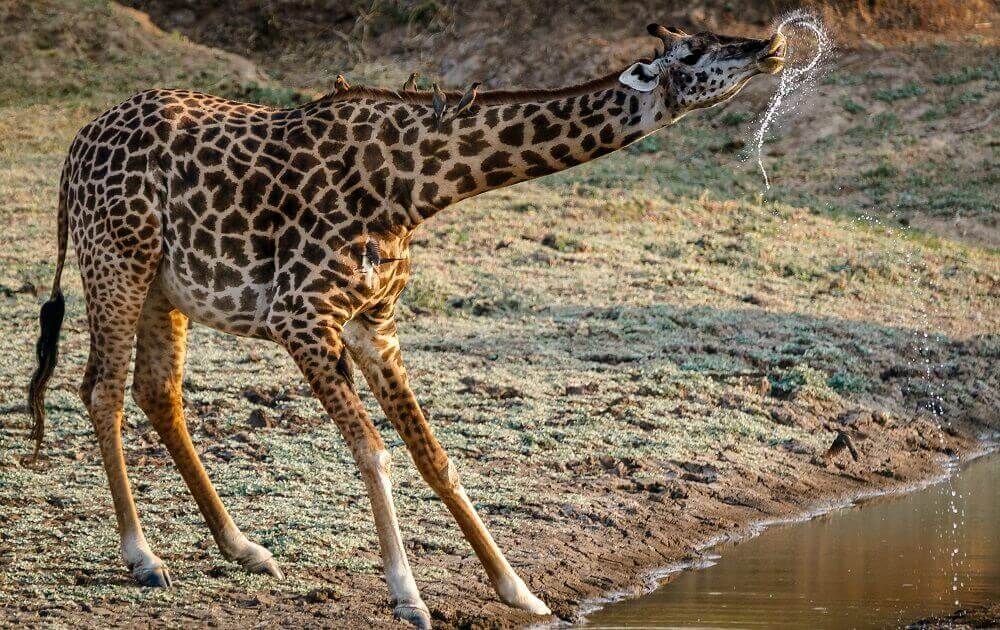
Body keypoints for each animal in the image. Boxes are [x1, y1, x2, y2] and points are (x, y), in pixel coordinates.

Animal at [25, 23, 788, 628]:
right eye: (695, 51)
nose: (771, 46)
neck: (414, 186)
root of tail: (73, 151)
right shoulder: (301, 316)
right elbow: (374, 451)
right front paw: (409, 598)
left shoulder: (374, 321)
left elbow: (434, 456)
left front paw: (520, 591)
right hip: (117, 261)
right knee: (102, 390)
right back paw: (143, 557)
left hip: (165, 285)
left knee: (158, 392)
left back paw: (244, 548)